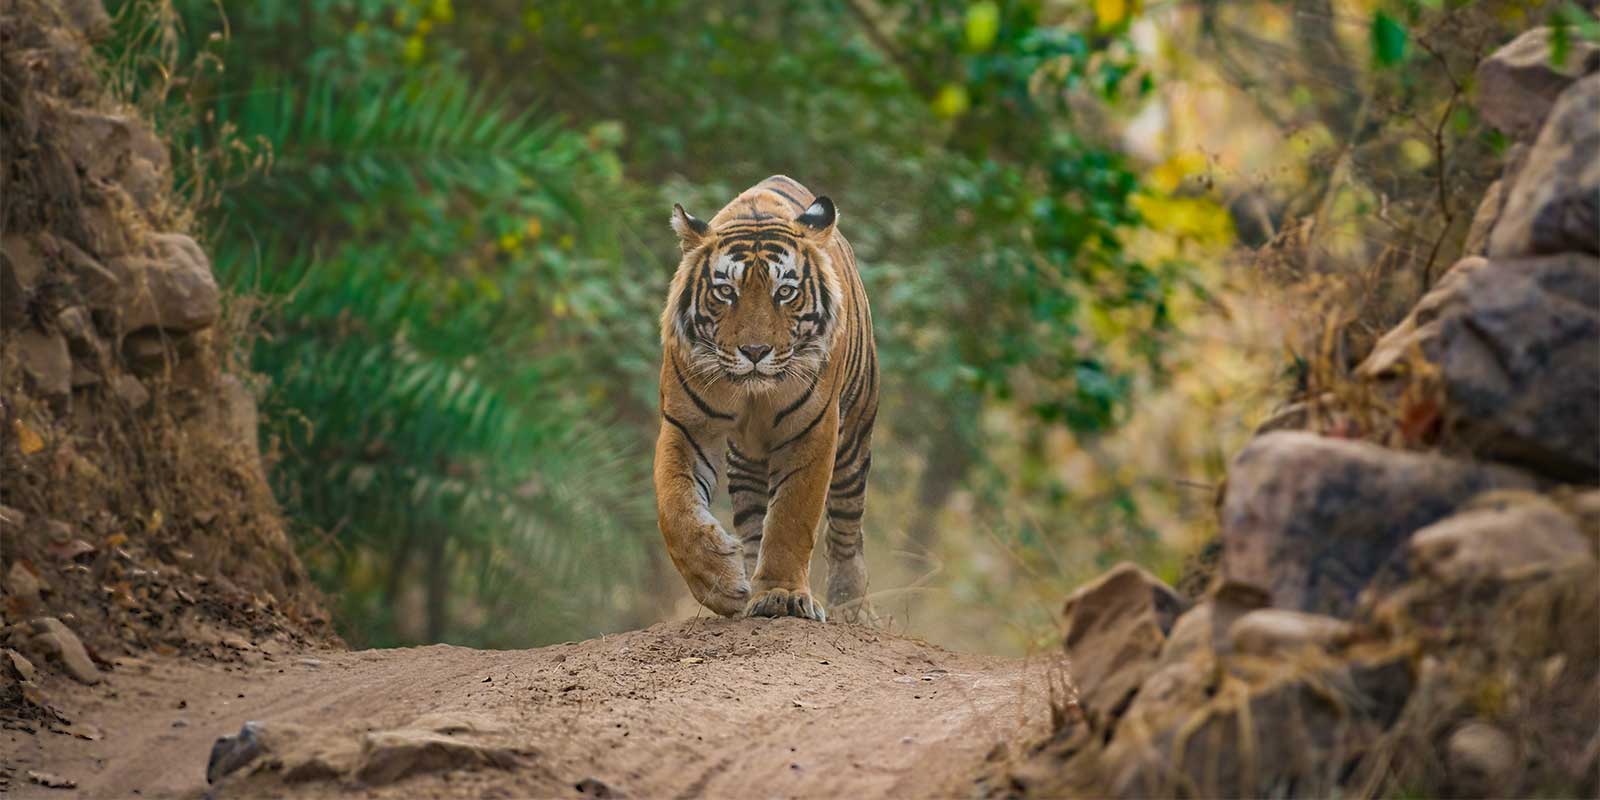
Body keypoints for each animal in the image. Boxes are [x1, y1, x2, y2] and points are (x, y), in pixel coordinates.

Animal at [654, 175, 879, 623]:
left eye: (786, 292)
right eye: (726, 291)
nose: (755, 351)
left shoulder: (813, 430)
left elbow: (793, 516)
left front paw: (782, 595)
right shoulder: (686, 425)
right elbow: (676, 507)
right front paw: (721, 582)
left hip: (854, 440)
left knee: (846, 528)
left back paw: (853, 608)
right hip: (744, 458)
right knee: (753, 518)